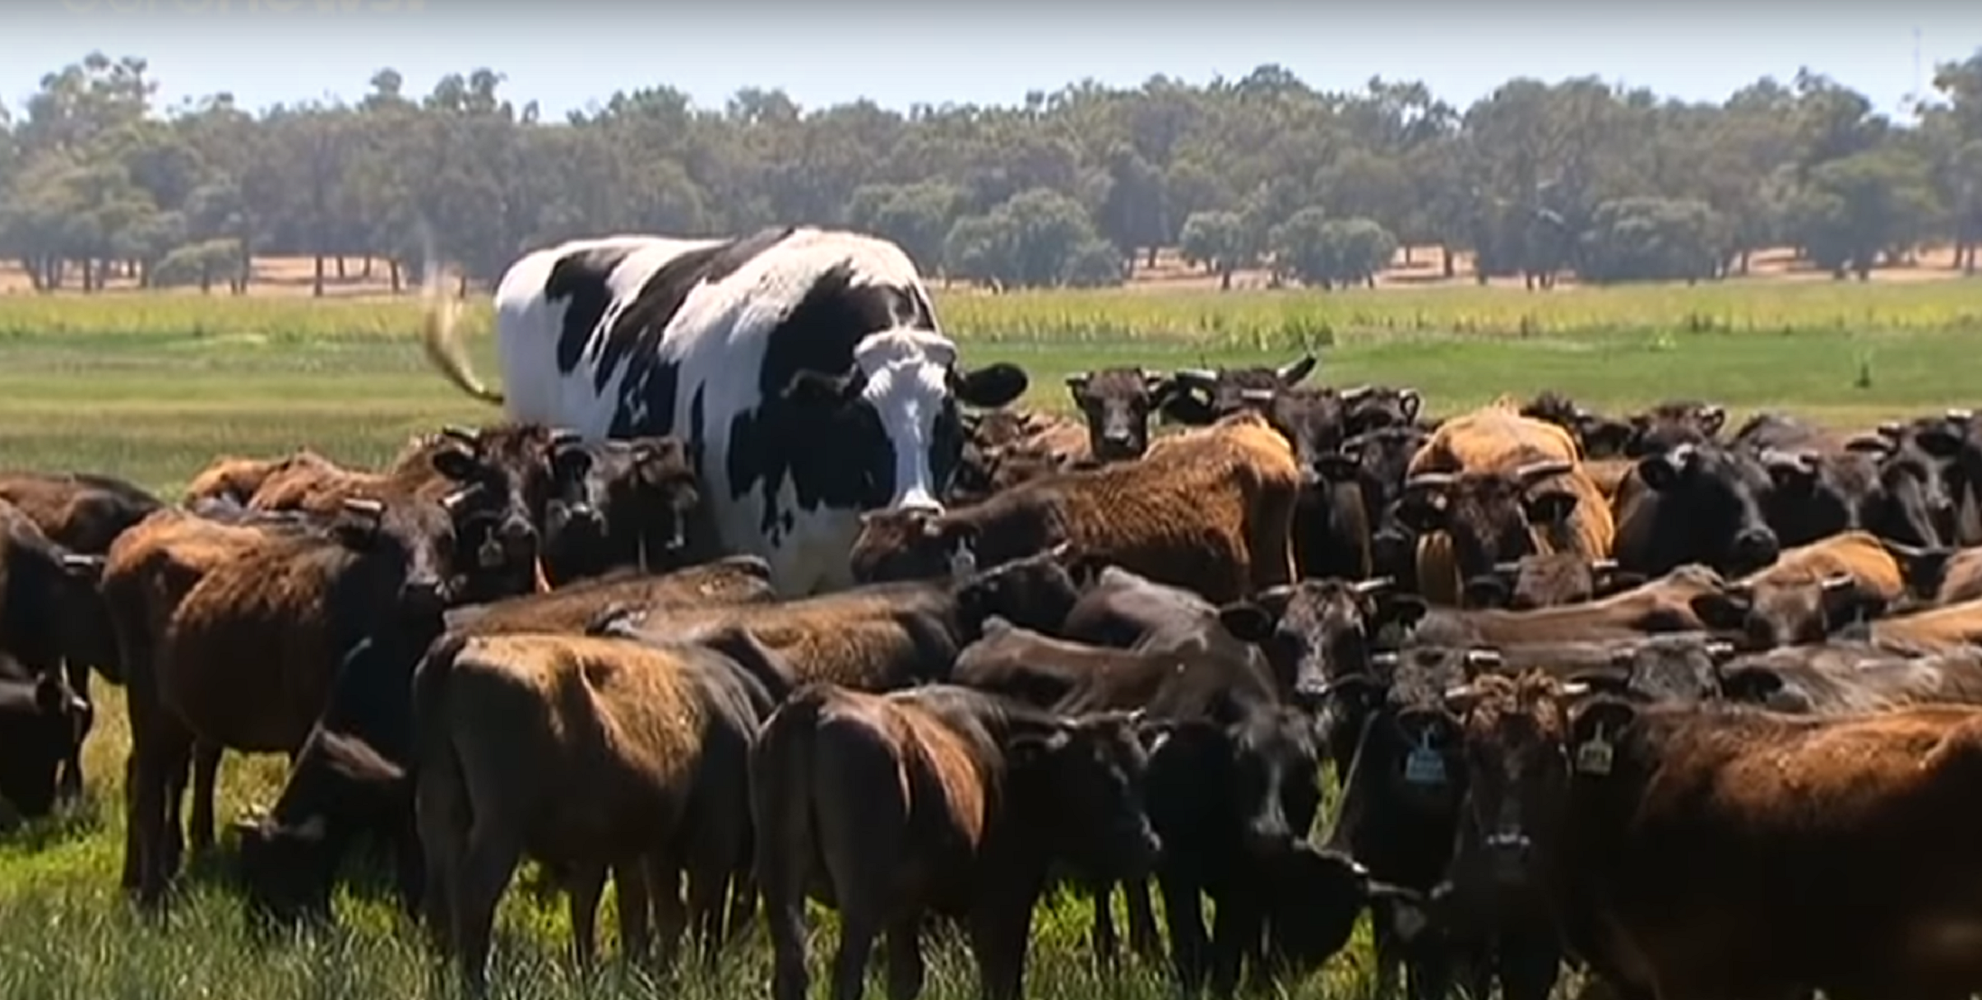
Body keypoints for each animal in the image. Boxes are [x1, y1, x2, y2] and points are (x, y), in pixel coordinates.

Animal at [418, 629, 780, 990]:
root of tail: (468, 644)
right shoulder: (708, 846)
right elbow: (702, 918)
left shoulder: (647, 853)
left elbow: (658, 915)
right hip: (500, 829)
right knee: (474, 895)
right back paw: (474, 984)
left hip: (444, 816)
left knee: (441, 900)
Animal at [753, 681, 1157, 998]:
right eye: (1095, 778)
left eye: (1142, 772)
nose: (1147, 843)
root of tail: (814, 701)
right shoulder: (1003, 898)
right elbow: (1002, 978)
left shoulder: (905, 907)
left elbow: (907, 977)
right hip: (860, 898)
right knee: (847, 978)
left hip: (781, 888)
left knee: (792, 974)